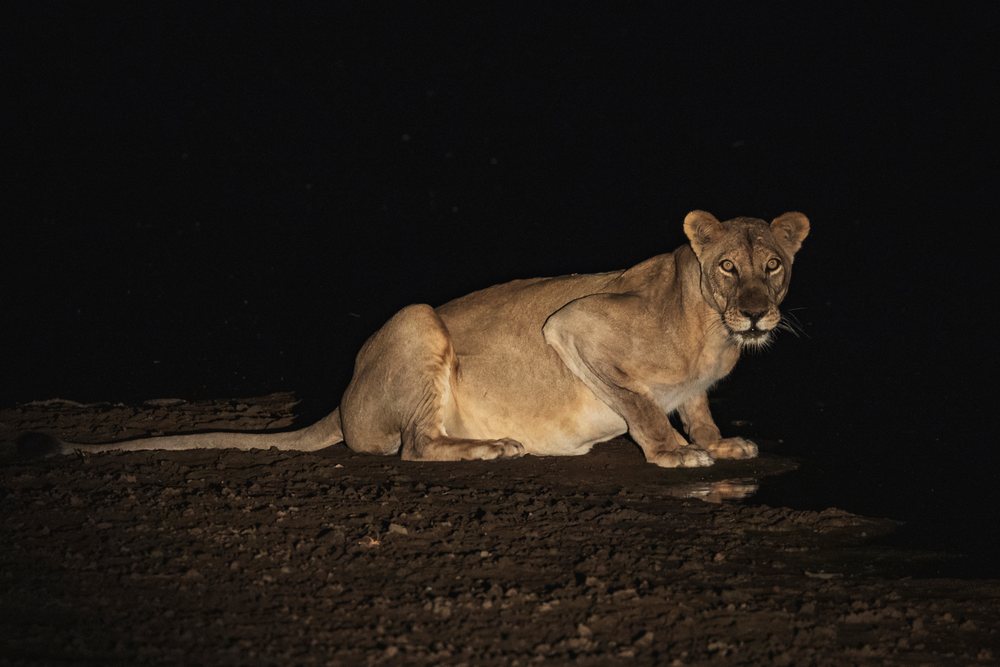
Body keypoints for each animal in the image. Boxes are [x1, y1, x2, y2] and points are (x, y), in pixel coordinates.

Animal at [19, 210, 809, 468]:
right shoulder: (574, 323)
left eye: (773, 265)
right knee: (416, 445)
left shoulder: (699, 384)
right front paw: (676, 453)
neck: (711, 330)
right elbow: (643, 403)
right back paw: (492, 447)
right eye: (728, 266)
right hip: (417, 318)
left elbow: (697, 406)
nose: (755, 315)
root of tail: (341, 403)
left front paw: (720, 441)